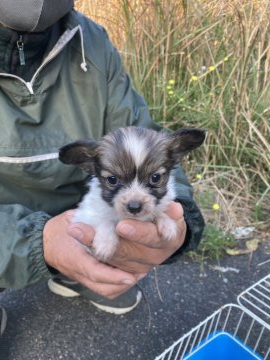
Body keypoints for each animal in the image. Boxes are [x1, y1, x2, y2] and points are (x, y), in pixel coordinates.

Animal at [59, 126, 206, 262]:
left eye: (155, 178)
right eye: (112, 180)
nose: (134, 207)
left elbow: (157, 212)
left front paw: (167, 224)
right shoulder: (85, 216)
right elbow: (106, 220)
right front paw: (105, 244)